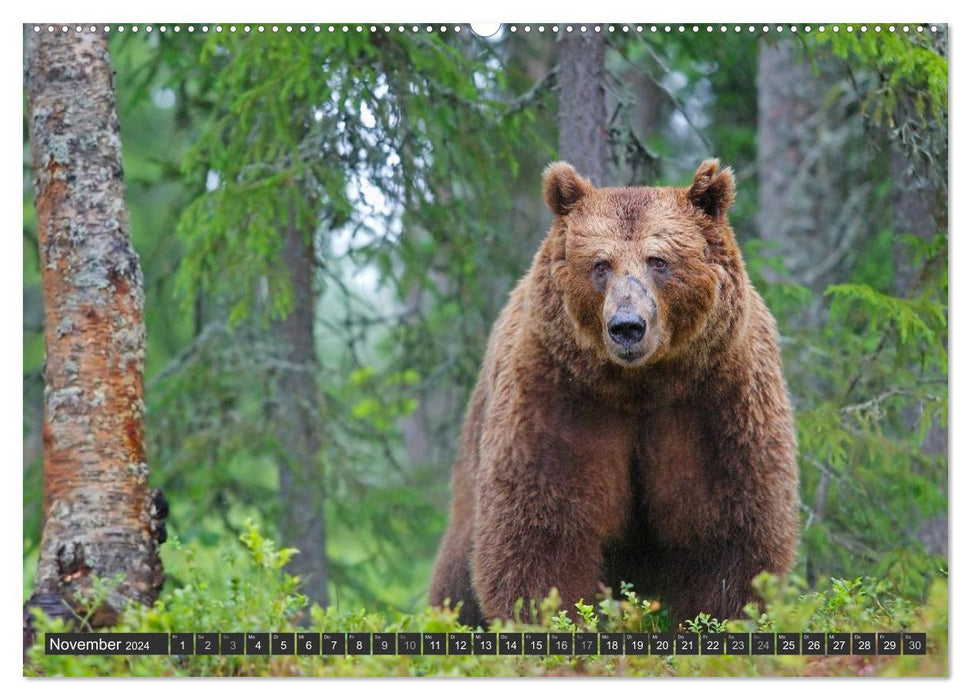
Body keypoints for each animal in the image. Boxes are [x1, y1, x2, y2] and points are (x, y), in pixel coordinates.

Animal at [430, 160, 800, 628]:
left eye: (659, 260)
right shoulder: (561, 397)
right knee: (458, 576)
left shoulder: (717, 400)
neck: (640, 384)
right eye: (600, 264)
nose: (627, 326)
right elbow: (543, 530)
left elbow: (729, 530)